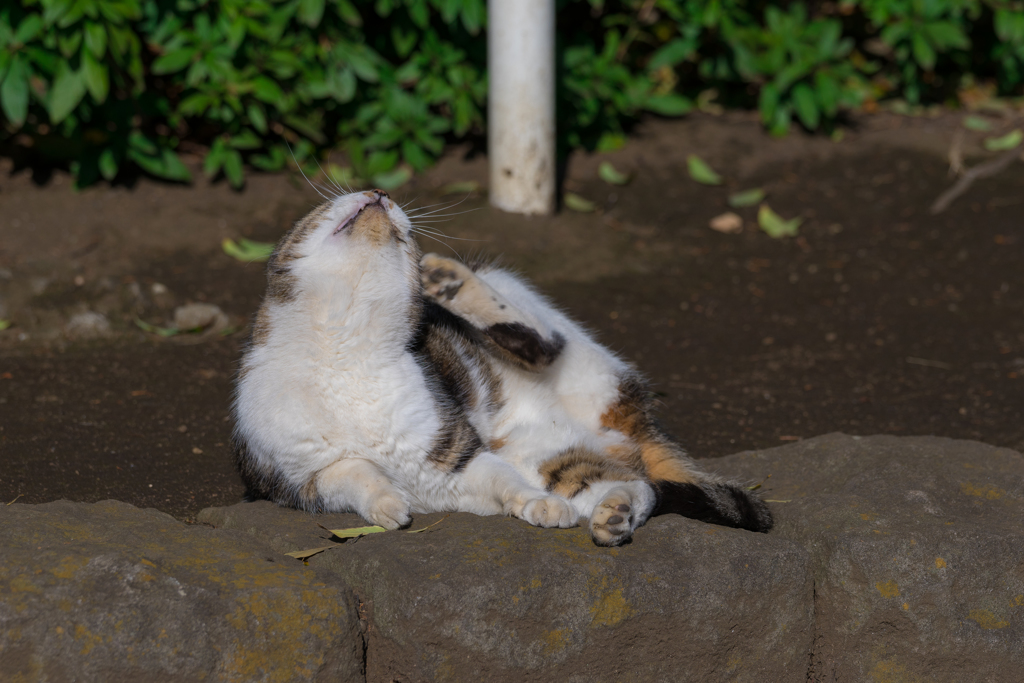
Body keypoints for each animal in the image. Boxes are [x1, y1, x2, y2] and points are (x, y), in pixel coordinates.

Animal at [230, 189, 770, 548]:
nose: (379, 191)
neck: (347, 349)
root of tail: (632, 416)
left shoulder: (455, 454)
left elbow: (505, 482)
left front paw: (539, 506)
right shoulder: (301, 478)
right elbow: (355, 473)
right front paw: (387, 504)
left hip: (554, 331)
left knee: (544, 344)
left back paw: (451, 281)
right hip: (556, 456)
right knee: (636, 485)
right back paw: (614, 515)